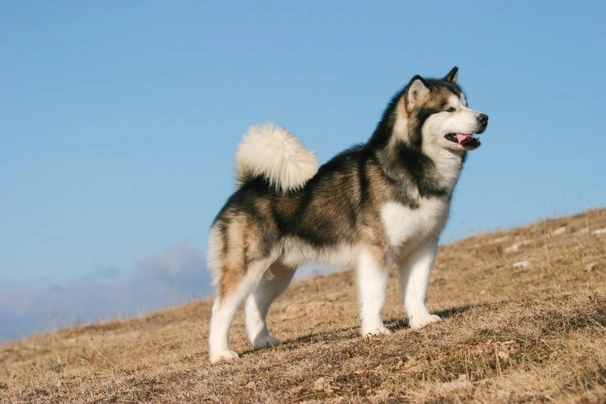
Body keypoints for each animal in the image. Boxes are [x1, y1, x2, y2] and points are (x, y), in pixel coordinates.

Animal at [208, 67, 490, 362]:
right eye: (449, 109)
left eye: (467, 104)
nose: (484, 117)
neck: (411, 168)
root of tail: (248, 184)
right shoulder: (376, 249)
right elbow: (376, 294)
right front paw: (375, 331)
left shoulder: (423, 246)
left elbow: (417, 289)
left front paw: (421, 320)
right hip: (246, 267)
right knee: (220, 310)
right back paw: (220, 354)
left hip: (279, 271)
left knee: (254, 304)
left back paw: (261, 339)